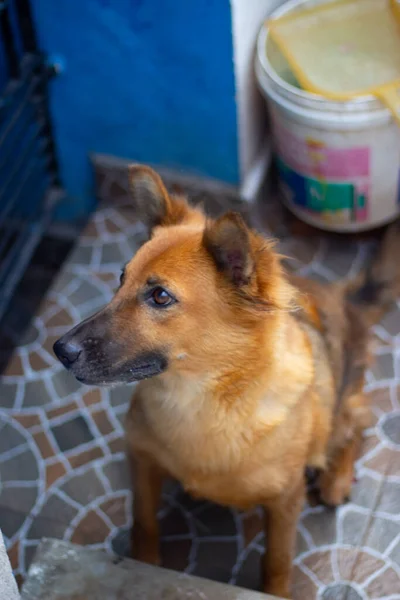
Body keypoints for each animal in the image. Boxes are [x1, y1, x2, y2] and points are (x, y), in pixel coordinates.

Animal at [54, 163, 400, 596]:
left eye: (160, 297)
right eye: (121, 278)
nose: (60, 349)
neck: (202, 399)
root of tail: (344, 300)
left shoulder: (284, 501)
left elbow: (277, 561)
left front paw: (274, 590)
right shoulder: (141, 462)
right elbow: (144, 524)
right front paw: (142, 563)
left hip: (338, 405)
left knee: (358, 423)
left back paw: (336, 478)